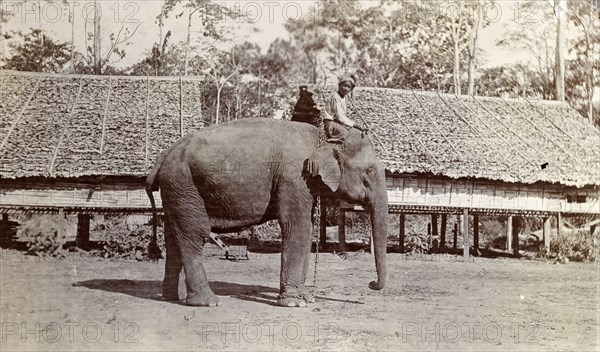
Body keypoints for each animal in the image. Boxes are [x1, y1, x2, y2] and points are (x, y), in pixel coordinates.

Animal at [146, 117, 390, 306]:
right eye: (368, 172)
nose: (371, 284)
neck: (320, 138)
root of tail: (164, 155)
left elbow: (308, 230)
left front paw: (305, 297)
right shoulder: (293, 177)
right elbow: (296, 226)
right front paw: (293, 302)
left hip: (175, 190)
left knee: (174, 237)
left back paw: (172, 298)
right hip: (184, 184)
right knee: (194, 234)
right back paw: (208, 302)